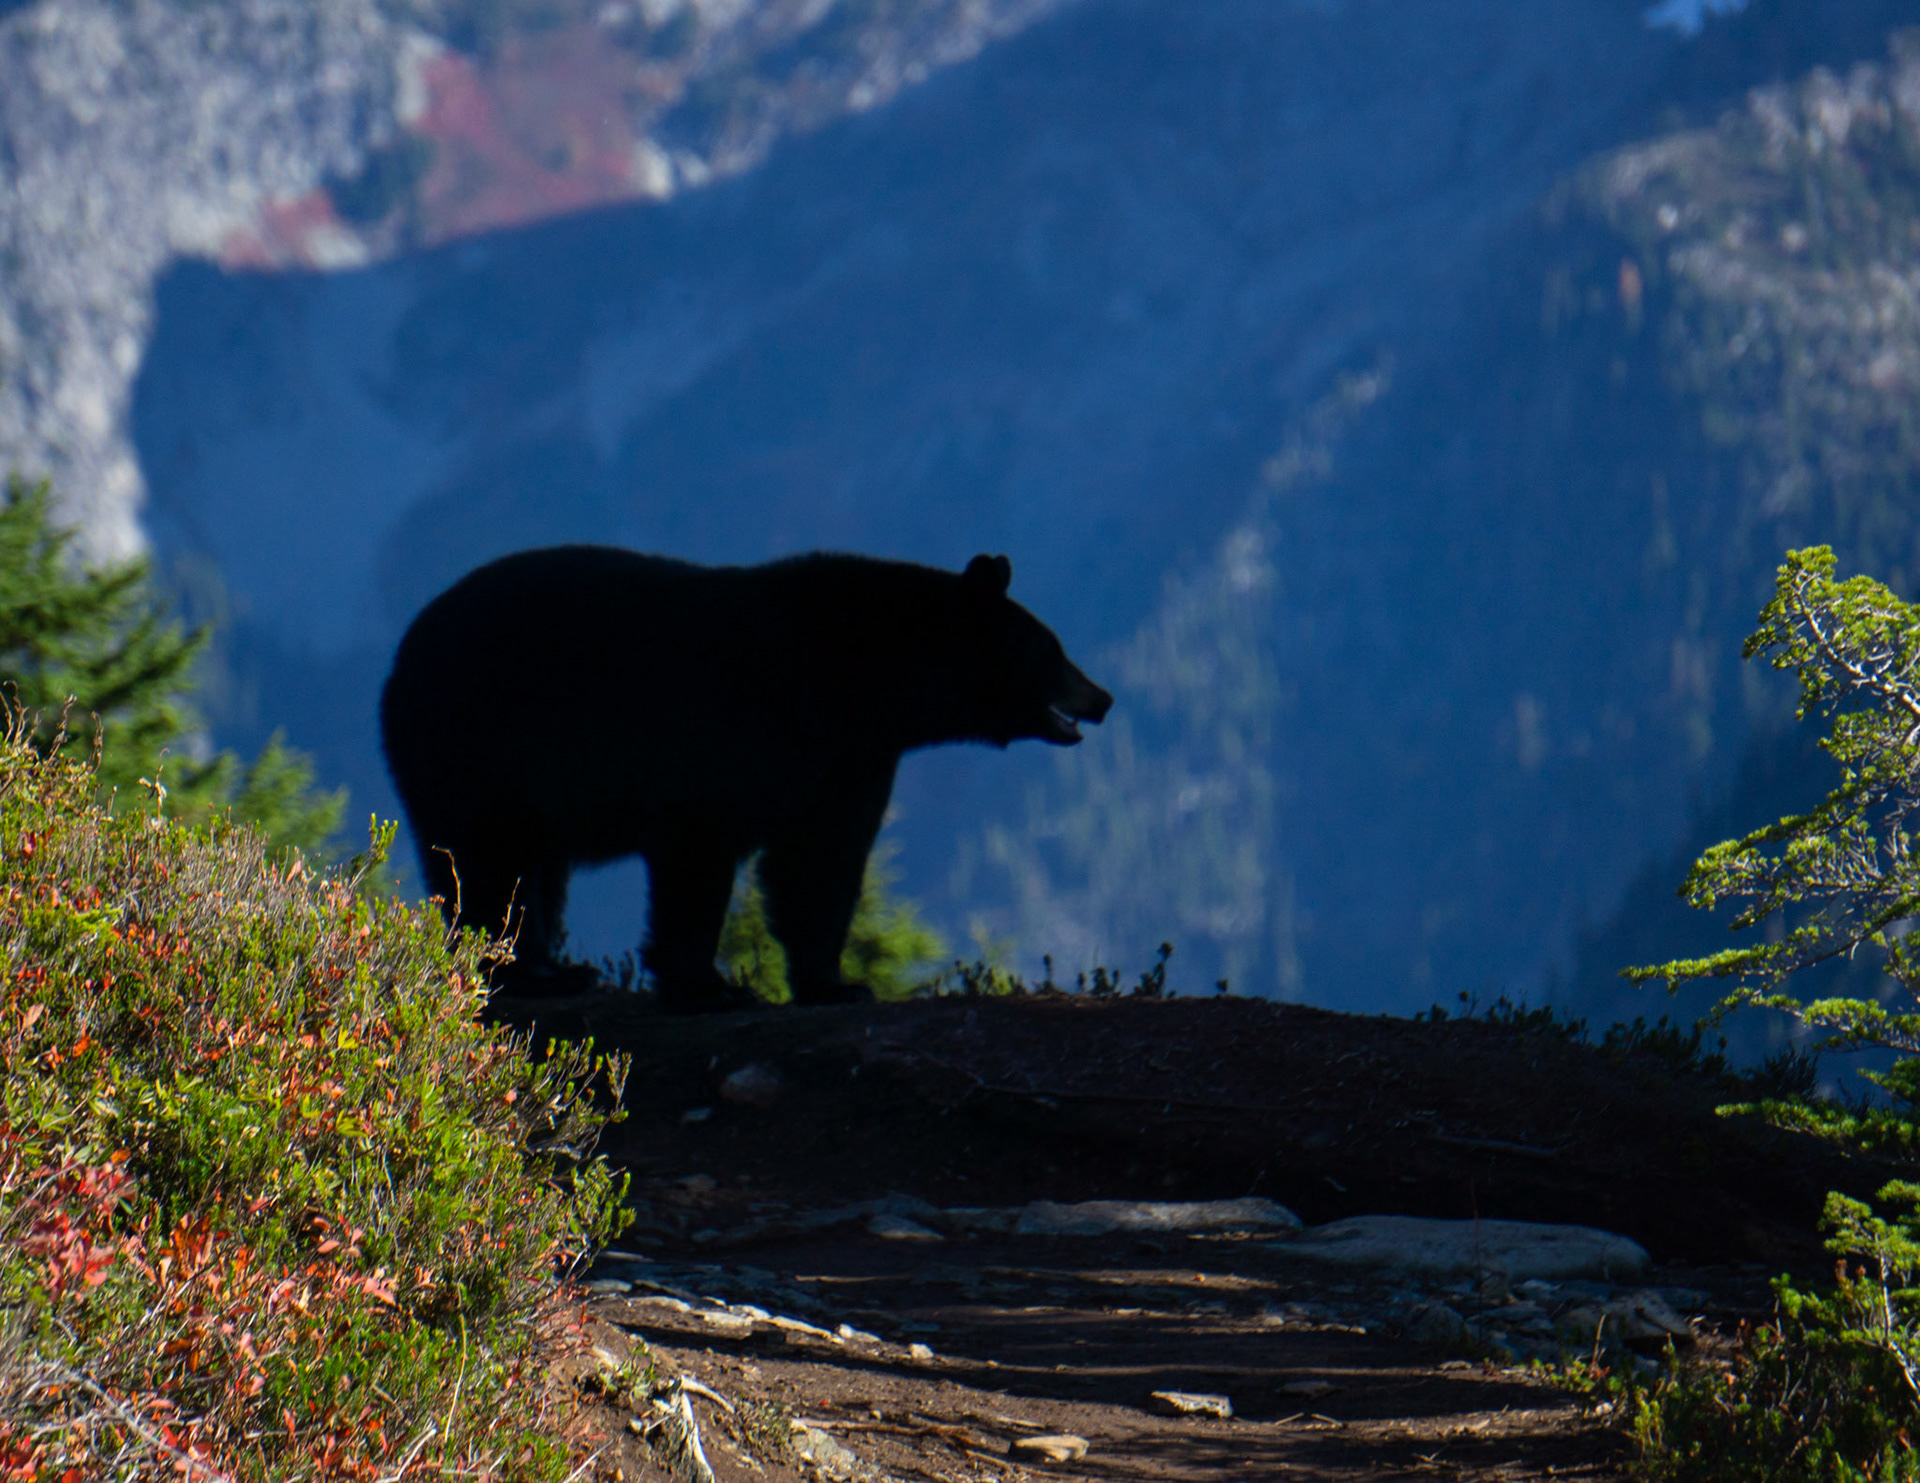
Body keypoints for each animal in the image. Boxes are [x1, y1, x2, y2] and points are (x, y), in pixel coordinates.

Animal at [379, 546, 1112, 1011]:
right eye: (1049, 647)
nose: (1102, 697)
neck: (867, 680)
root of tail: (400, 659)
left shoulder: (849, 759)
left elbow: (820, 862)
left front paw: (834, 983)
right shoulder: (735, 733)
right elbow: (702, 854)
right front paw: (709, 986)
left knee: (533, 874)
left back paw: (551, 969)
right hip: (478, 749)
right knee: (487, 866)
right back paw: (511, 971)